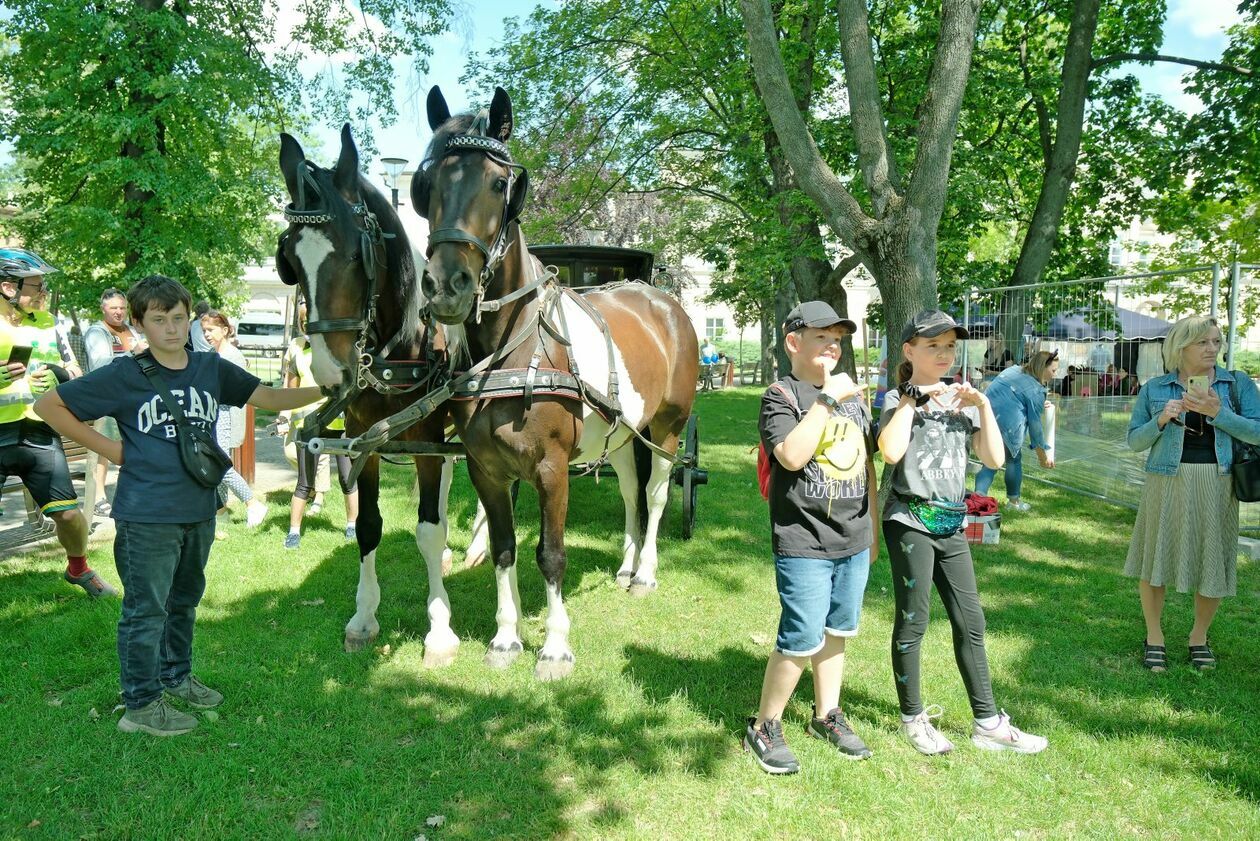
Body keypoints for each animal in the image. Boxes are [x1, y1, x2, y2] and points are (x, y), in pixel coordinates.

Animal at [275, 124, 486, 665]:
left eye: (357, 255)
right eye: (290, 263)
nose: (330, 371)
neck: (400, 349)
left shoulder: (428, 437)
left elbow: (428, 529)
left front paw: (439, 629)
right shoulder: (361, 438)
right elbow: (368, 524)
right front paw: (364, 618)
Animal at [413, 85, 700, 675]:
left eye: (500, 184)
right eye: (426, 187)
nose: (446, 286)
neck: (509, 349)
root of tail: (662, 301)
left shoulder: (550, 468)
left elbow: (550, 553)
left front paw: (555, 645)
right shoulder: (486, 468)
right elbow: (504, 549)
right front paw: (505, 637)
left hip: (667, 428)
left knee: (657, 493)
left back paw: (645, 572)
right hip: (619, 434)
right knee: (631, 491)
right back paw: (625, 565)